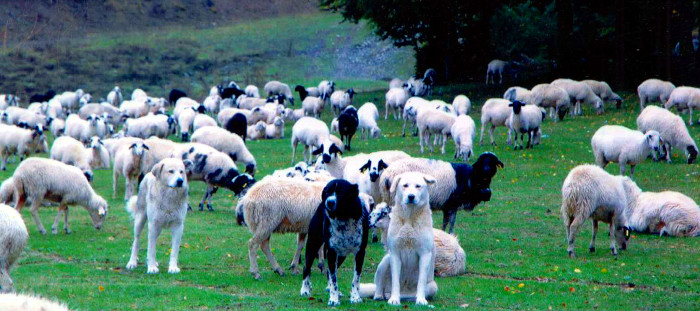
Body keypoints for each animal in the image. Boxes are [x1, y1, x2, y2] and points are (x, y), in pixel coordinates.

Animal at [360, 173, 438, 308]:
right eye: (405, 185)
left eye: (418, 186)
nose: (411, 196)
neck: (409, 218)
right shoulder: (395, 253)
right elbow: (395, 279)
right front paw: (394, 299)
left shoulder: (425, 254)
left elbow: (421, 280)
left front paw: (421, 300)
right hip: (385, 261)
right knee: (379, 286)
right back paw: (381, 295)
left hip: (433, 286)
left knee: (409, 295)